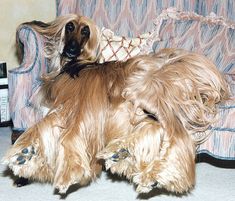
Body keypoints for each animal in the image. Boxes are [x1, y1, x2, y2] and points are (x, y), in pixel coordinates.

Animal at [2, 48, 229, 196]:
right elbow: (42, 127)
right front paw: (24, 154)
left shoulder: (86, 106)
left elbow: (69, 135)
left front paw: (68, 173)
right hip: (147, 104)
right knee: (158, 129)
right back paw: (127, 156)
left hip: (149, 90)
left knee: (177, 134)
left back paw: (155, 175)